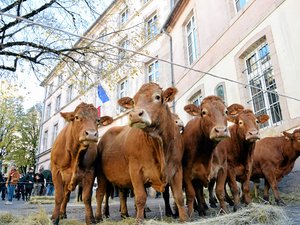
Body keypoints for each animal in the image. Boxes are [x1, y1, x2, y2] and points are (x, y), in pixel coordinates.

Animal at [95, 83, 186, 223]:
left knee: (122, 193)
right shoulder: (135, 169)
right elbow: (140, 197)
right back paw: (99, 216)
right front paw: (139, 219)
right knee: (100, 194)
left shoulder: (176, 168)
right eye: (133, 102)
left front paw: (183, 218)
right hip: (101, 175)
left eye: (157, 97)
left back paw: (124, 214)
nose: (135, 115)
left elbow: (178, 196)